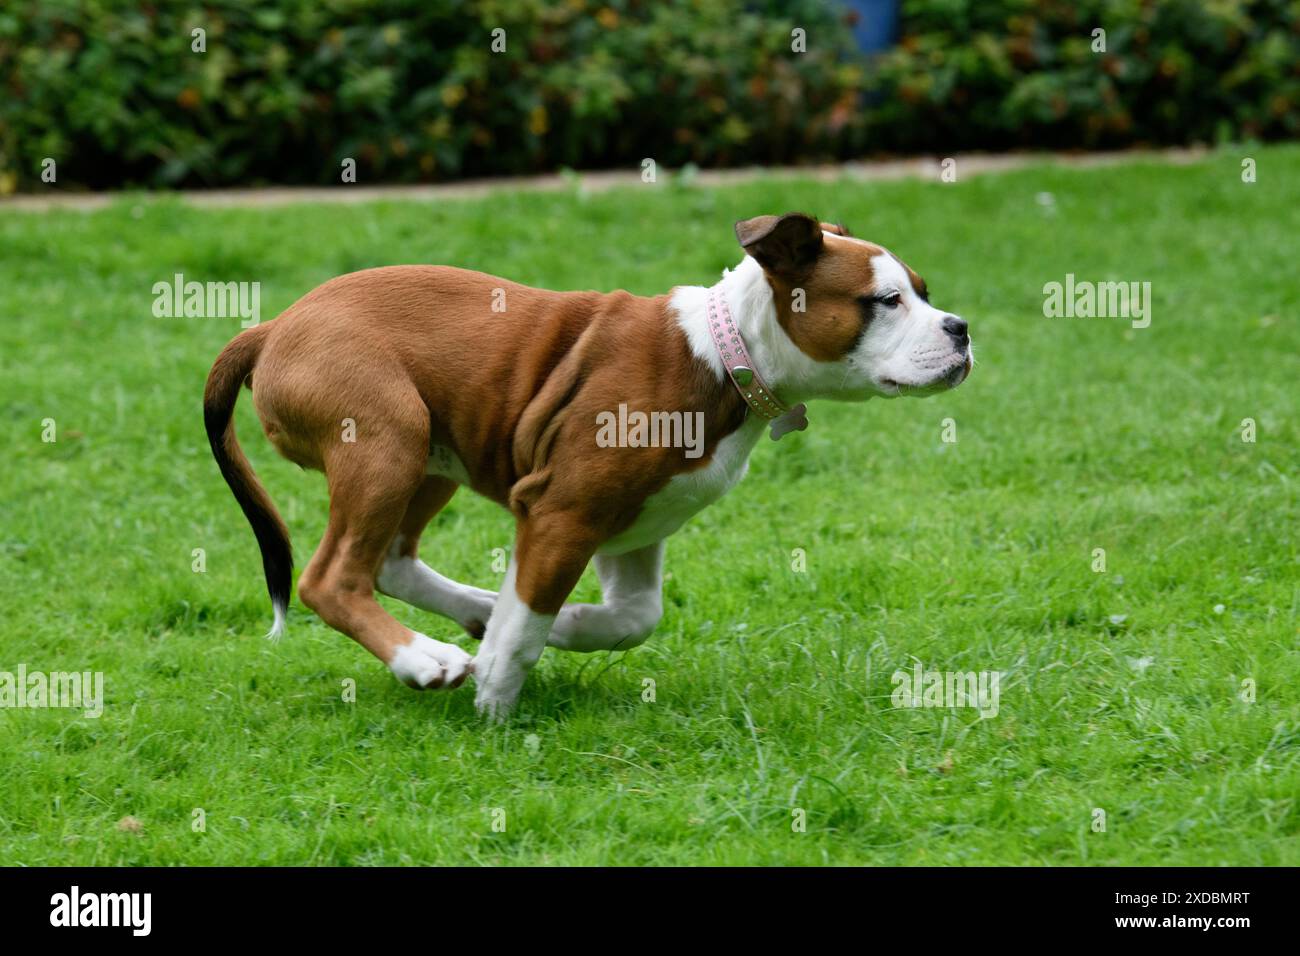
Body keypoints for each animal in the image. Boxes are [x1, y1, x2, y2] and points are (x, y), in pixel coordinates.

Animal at [202, 210, 972, 717]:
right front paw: (495, 705)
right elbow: (524, 633)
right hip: (388, 437)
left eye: (926, 292)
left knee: (389, 560)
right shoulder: (563, 514)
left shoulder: (631, 528)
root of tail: (271, 327)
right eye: (886, 301)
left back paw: (472, 613)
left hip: (428, 455)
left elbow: (631, 618)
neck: (726, 354)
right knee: (332, 578)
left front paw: (561, 625)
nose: (962, 329)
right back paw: (426, 659)